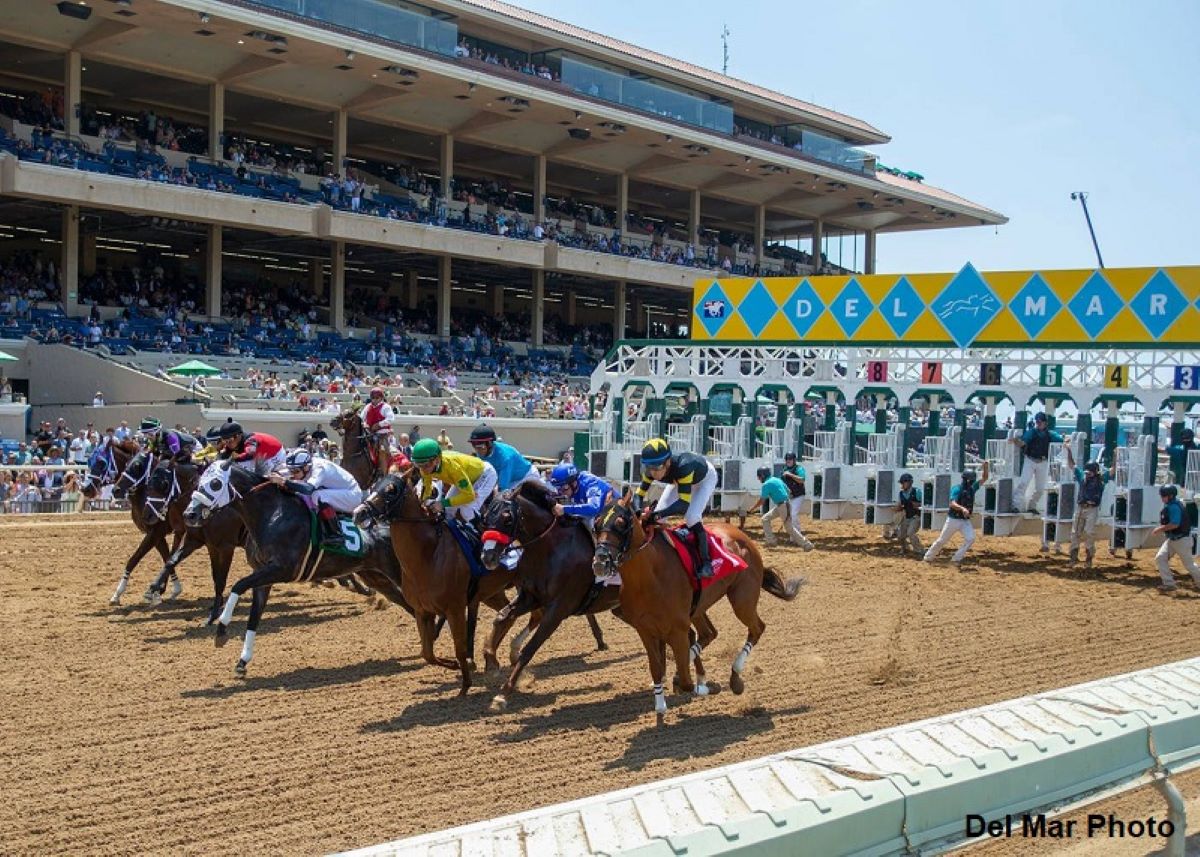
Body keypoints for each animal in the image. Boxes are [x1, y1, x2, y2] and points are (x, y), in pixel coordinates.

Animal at [184, 460, 412, 672]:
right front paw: (243, 661)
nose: (189, 514)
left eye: (215, 483)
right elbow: (253, 617)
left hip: (398, 572)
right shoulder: (262, 575)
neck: (272, 514)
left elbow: (238, 585)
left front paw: (221, 630)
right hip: (376, 577)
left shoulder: (282, 569)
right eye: (197, 482)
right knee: (406, 603)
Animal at [355, 468, 516, 696]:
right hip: (492, 592)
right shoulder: (423, 611)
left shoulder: (455, 608)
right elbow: (427, 653)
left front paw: (465, 684)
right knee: (509, 614)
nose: (359, 513)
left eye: (391, 490)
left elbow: (459, 647)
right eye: (373, 486)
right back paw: (498, 659)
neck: (428, 555)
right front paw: (455, 665)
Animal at [480, 480, 624, 705]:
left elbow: (531, 647)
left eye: (507, 517)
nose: (487, 557)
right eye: (486, 517)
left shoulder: (558, 609)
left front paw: (504, 692)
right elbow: (502, 617)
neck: (551, 548)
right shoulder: (531, 596)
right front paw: (491, 661)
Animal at [592, 487, 806, 720]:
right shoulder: (645, 630)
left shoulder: (677, 629)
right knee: (709, 633)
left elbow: (687, 683)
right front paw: (660, 706)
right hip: (698, 608)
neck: (648, 577)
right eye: (596, 523)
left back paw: (735, 678)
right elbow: (656, 668)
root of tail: (743, 537)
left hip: (742, 600)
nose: (600, 561)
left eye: (621, 522)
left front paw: (710, 686)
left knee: (757, 628)